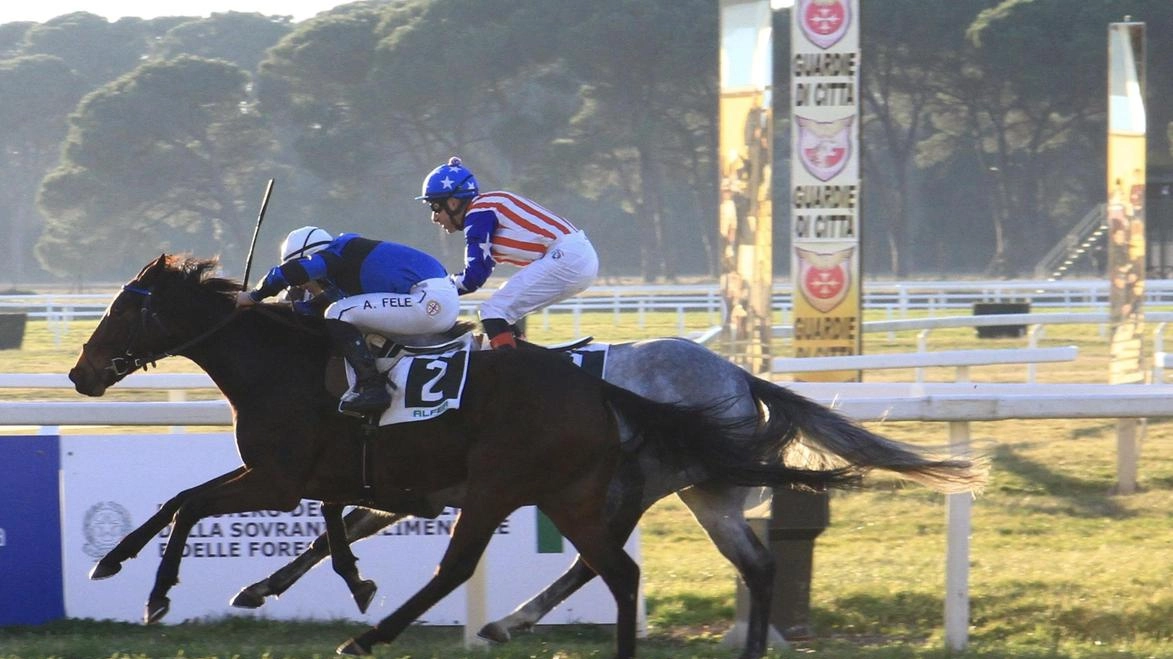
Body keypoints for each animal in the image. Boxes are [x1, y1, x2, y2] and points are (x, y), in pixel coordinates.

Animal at [68, 254, 858, 651]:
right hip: (655, 491)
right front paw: (117, 561)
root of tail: (733, 375)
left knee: (488, 565)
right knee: (681, 566)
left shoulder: (283, 477)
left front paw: (158, 591)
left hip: (541, 485)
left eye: (123, 308)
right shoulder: (330, 476)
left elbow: (198, 505)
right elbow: (198, 502)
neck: (283, 365)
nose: (80, 373)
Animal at [226, 335, 980, 651]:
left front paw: (280, 587)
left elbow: (351, 518)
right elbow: (351, 519)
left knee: (600, 560)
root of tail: (737, 376)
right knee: (738, 562)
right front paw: (265, 586)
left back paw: (507, 621)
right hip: (702, 491)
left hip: (636, 483)